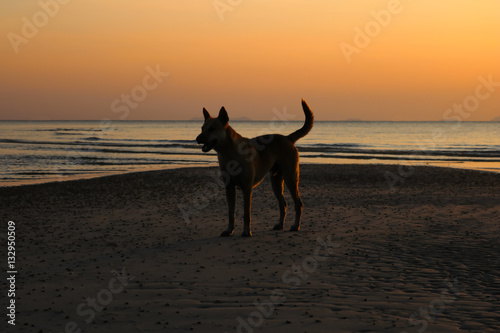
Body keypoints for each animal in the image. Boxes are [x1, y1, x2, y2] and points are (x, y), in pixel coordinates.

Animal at [195, 99, 312, 236]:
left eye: (212, 129)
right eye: (202, 128)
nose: (197, 138)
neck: (230, 153)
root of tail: (288, 138)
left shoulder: (247, 188)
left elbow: (246, 213)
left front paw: (246, 231)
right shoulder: (229, 188)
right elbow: (231, 213)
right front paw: (229, 230)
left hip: (290, 179)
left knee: (298, 204)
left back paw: (296, 225)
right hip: (276, 182)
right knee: (283, 204)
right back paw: (280, 225)